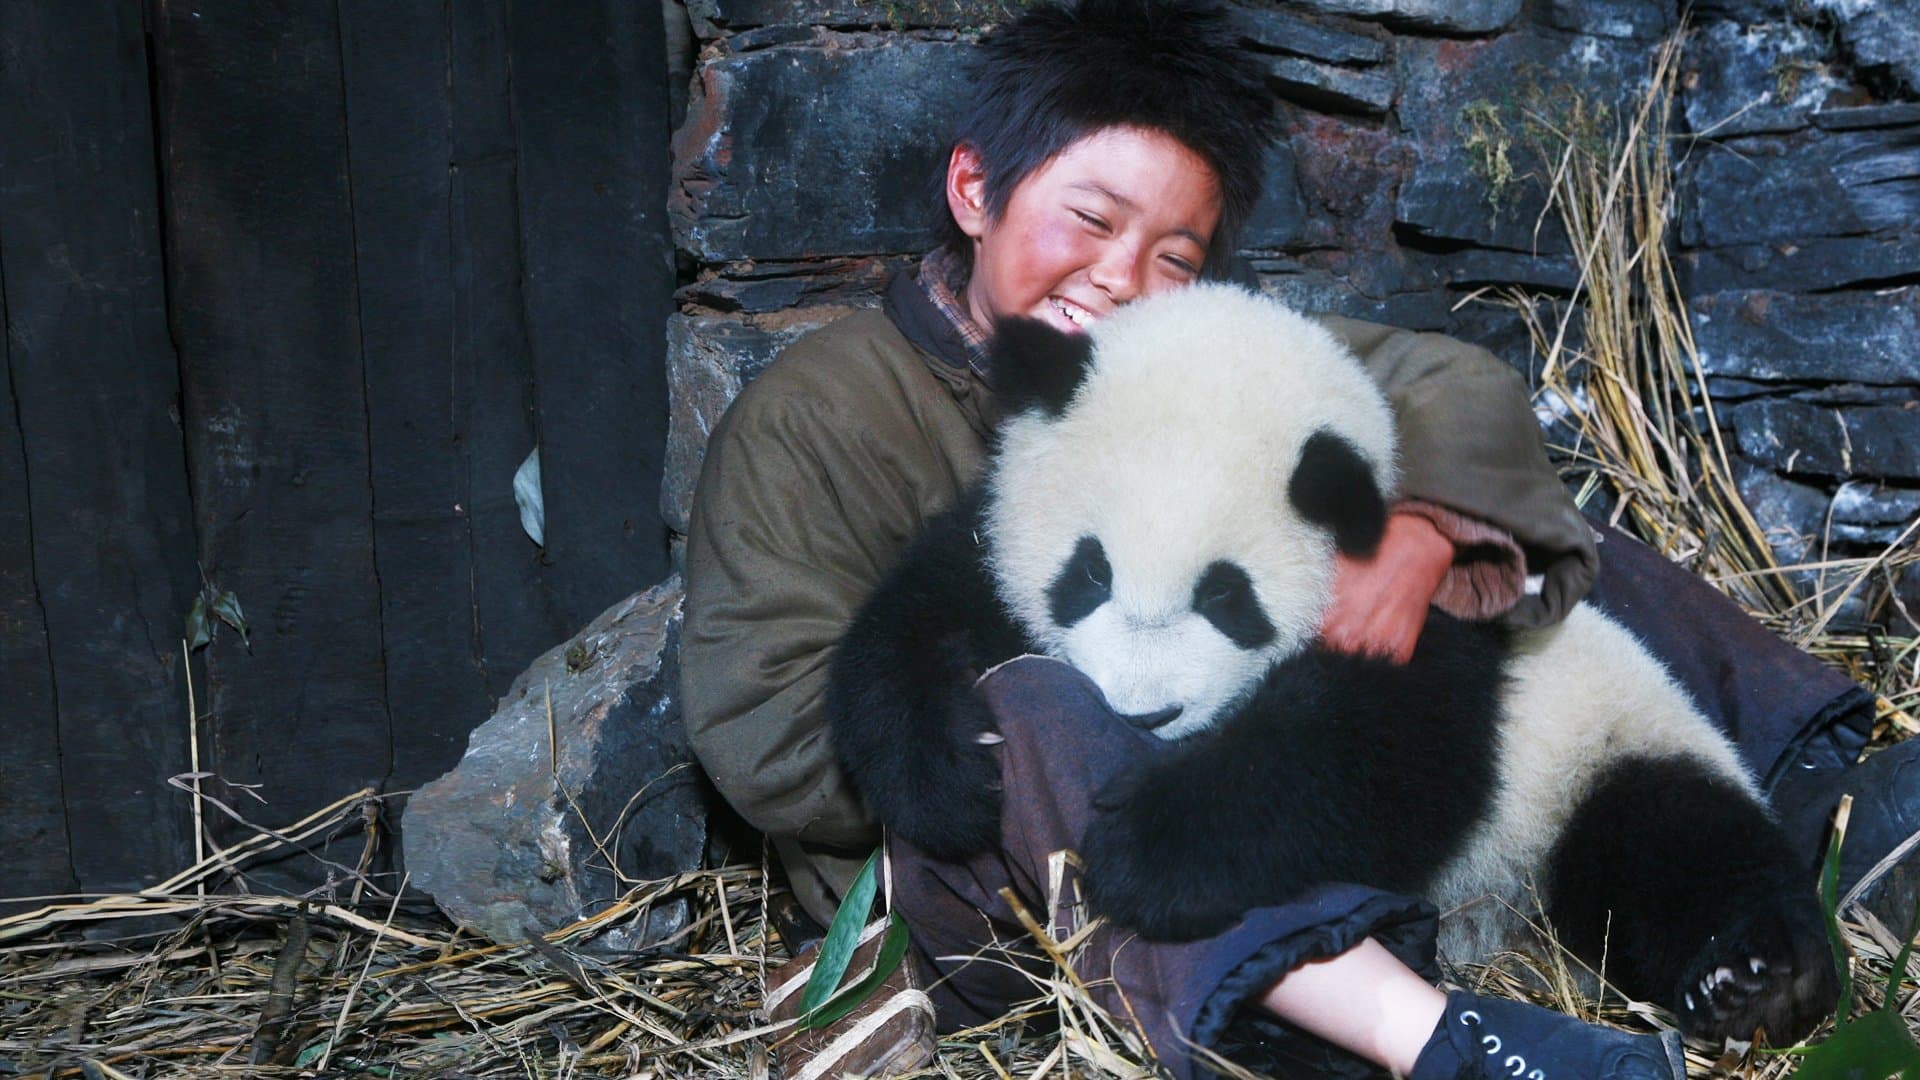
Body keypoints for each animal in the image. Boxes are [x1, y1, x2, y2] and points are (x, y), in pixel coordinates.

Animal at [827, 283, 1834, 1042]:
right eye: (1089, 571)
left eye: (1226, 597)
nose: (1143, 714)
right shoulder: (989, 547)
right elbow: (918, 619)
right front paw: (947, 777)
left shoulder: (1426, 622)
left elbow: (1374, 763)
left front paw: (1146, 849)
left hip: (1601, 744)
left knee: (1673, 840)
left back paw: (1755, 978)